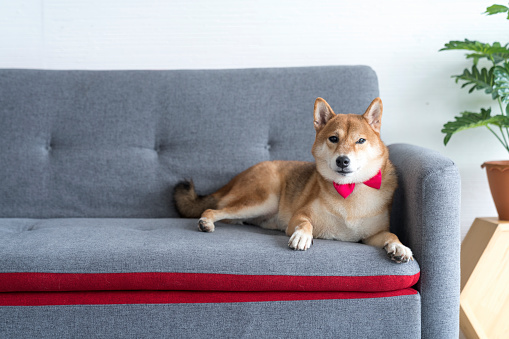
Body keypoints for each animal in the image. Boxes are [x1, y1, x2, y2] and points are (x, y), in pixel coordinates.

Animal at [175, 97, 412, 264]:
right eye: (333, 138)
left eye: (360, 141)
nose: (343, 160)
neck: (349, 191)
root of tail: (238, 176)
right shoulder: (299, 215)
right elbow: (305, 223)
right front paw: (302, 236)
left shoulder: (372, 235)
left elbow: (391, 234)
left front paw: (399, 247)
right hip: (262, 200)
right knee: (214, 210)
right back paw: (206, 222)